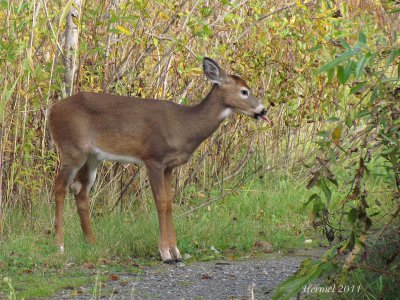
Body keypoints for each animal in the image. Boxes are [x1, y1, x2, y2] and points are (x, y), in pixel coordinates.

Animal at [49, 57, 268, 264]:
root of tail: (51, 110)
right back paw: (59, 245)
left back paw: (92, 242)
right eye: (244, 91)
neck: (184, 125)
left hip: (92, 157)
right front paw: (165, 254)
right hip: (72, 149)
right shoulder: (153, 158)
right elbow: (160, 202)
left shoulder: (169, 166)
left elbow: (169, 203)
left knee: (80, 190)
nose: (263, 110)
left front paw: (176, 252)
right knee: (60, 186)